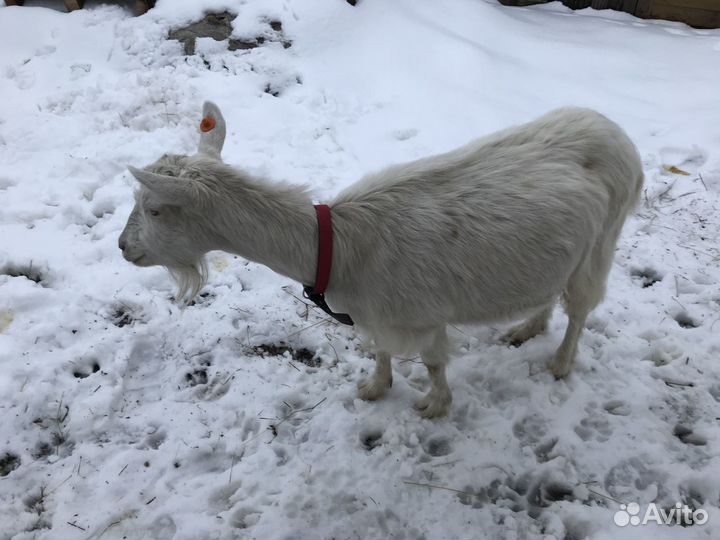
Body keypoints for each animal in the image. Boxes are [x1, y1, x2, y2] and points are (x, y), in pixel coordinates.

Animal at [121, 103, 644, 420]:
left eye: (155, 209)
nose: (124, 248)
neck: (337, 247)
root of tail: (617, 132)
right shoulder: (375, 312)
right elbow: (380, 349)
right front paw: (375, 387)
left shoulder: (424, 316)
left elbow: (432, 362)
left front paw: (435, 405)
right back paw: (526, 327)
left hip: (603, 240)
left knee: (581, 306)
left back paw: (559, 362)